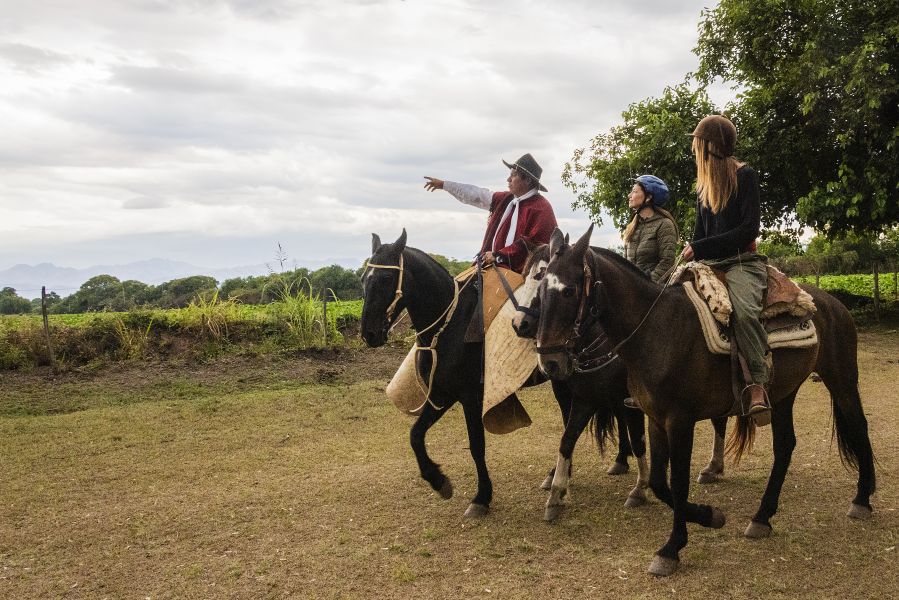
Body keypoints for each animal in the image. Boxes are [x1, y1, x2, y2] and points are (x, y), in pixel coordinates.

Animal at [536, 226, 880, 576]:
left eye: (568, 291)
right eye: (540, 290)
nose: (549, 362)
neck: (656, 330)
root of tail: (831, 303)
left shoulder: (680, 420)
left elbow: (677, 481)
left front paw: (671, 548)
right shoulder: (653, 417)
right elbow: (659, 481)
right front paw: (709, 516)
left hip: (841, 380)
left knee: (859, 426)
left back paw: (861, 499)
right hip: (784, 393)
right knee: (785, 445)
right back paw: (762, 517)